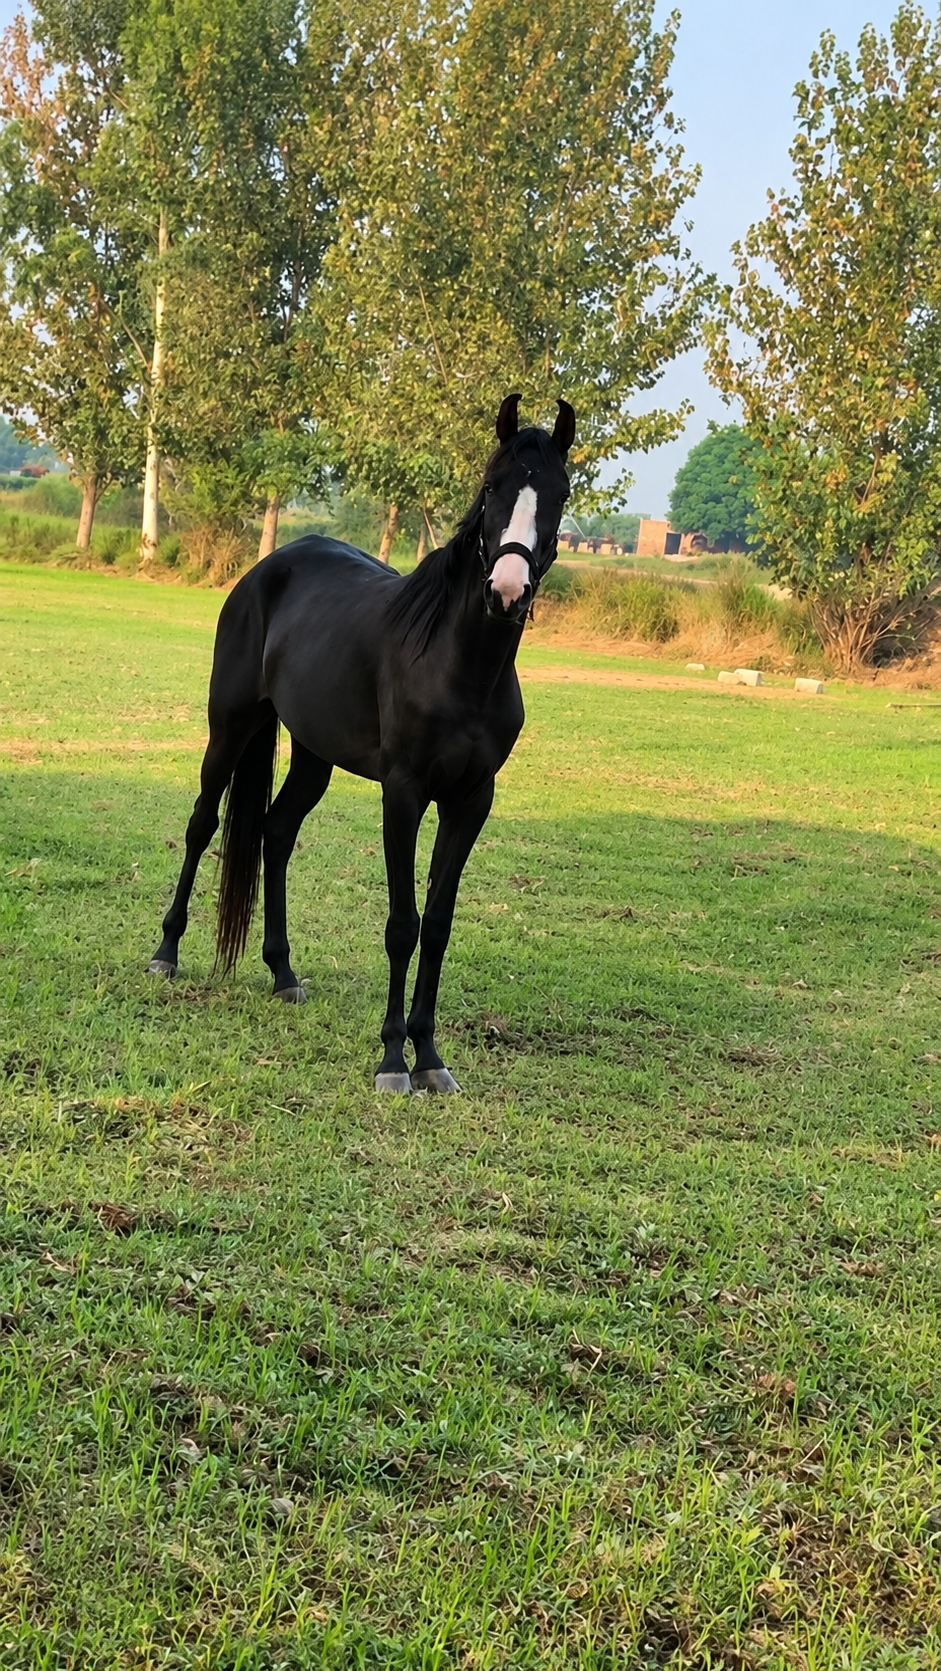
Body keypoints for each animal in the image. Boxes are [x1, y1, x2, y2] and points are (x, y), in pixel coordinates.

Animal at [147, 393, 575, 1092]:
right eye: (492, 488)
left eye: (559, 495)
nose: (507, 592)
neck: (460, 666)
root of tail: (266, 569)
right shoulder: (403, 794)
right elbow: (403, 926)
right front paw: (394, 1059)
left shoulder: (470, 801)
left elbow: (438, 924)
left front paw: (429, 1056)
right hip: (230, 727)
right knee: (202, 825)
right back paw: (165, 951)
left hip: (314, 756)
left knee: (274, 832)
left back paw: (283, 973)